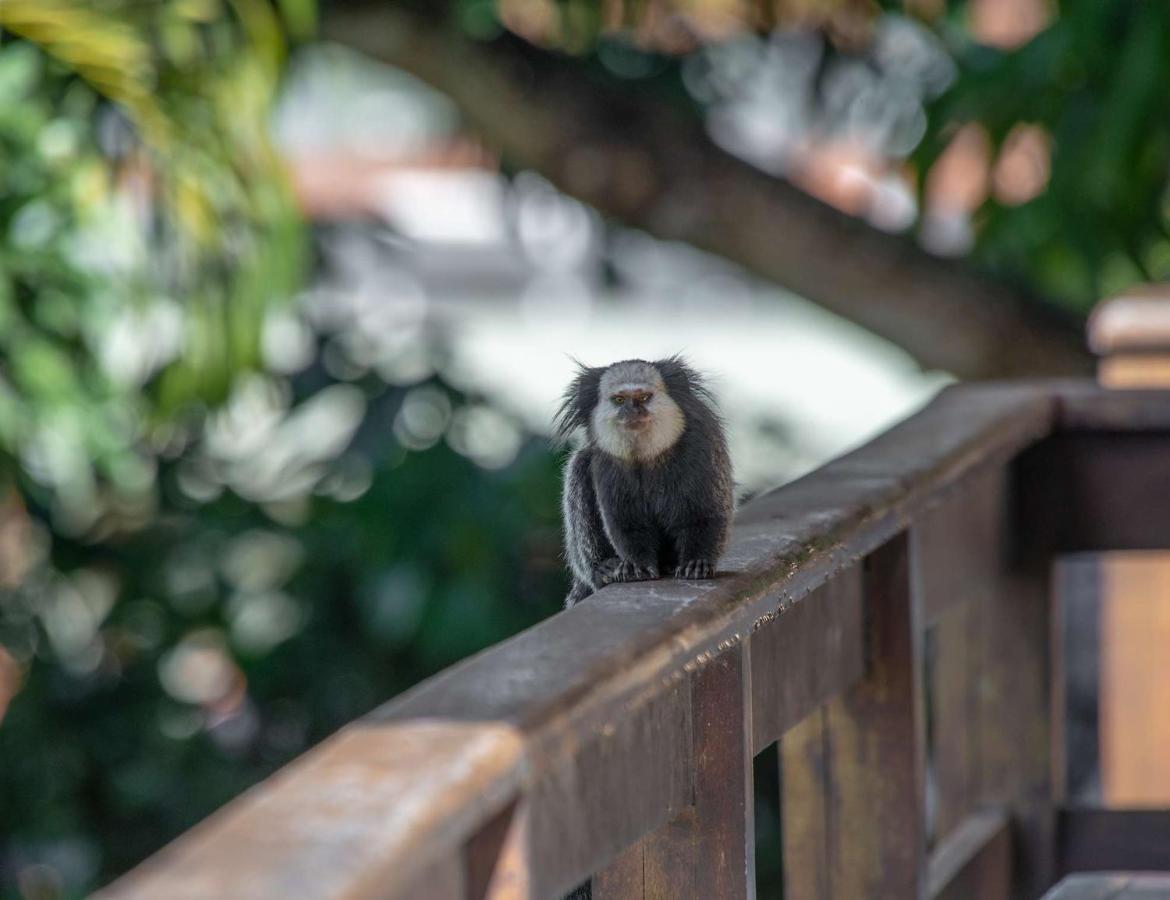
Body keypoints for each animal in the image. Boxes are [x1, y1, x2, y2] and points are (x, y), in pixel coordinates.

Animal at [554, 355, 730, 608]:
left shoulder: (701, 444)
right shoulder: (609, 461)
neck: (648, 457)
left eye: (644, 397)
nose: (632, 411)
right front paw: (637, 565)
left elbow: (704, 513)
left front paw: (697, 561)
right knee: (578, 466)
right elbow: (626, 522)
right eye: (619, 400)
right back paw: (603, 568)